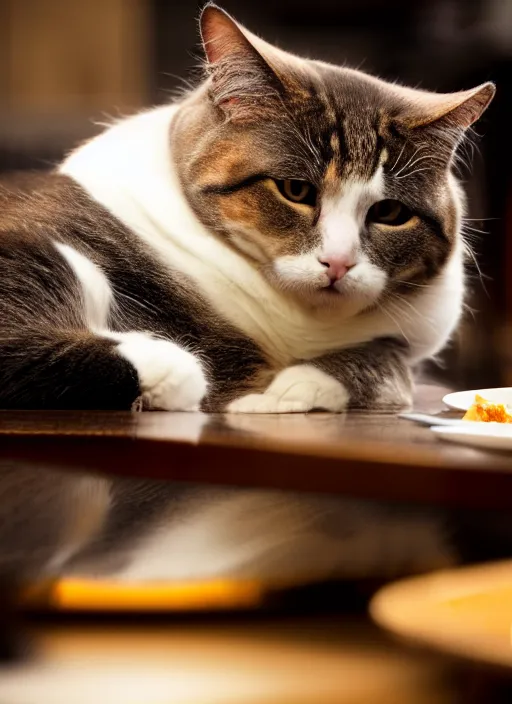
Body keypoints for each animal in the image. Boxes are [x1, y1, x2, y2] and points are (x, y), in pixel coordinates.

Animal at [0, 5, 496, 410]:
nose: (338, 263)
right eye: (296, 189)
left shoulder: (408, 342)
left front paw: (294, 389)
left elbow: (390, 363)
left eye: (390, 213)